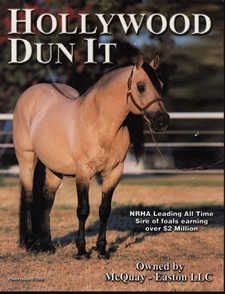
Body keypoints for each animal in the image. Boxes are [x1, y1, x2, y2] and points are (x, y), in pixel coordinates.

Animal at [12, 55, 169, 258]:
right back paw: (30, 244)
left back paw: (47, 245)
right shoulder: (83, 173)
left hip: (54, 169)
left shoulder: (114, 172)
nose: (162, 120)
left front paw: (101, 249)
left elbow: (104, 210)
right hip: (27, 160)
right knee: (28, 197)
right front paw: (81, 251)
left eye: (161, 85)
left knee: (47, 200)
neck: (99, 124)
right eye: (141, 86)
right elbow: (83, 210)